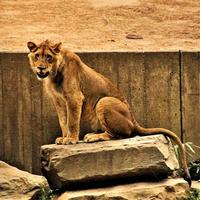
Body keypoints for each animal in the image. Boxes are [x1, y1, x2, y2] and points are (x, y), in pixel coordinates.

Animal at [26, 39, 191, 185]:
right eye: (37, 56)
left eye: (49, 57)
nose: (41, 68)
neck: (53, 76)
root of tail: (133, 120)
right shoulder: (59, 101)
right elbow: (63, 121)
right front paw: (63, 138)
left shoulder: (74, 97)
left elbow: (72, 121)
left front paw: (71, 139)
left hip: (103, 101)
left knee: (119, 135)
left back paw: (93, 137)